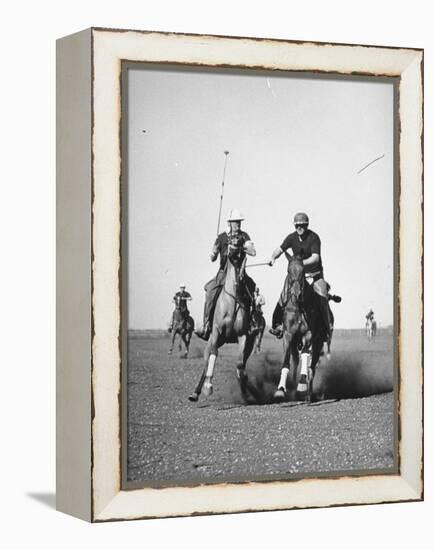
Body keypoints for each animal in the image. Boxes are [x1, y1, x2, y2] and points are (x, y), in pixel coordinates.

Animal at [188, 246, 256, 402]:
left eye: (241, 246)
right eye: (230, 243)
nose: (233, 251)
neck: (232, 300)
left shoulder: (243, 335)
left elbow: (240, 364)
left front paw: (245, 390)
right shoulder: (217, 331)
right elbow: (214, 355)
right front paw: (208, 387)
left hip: (248, 345)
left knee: (242, 363)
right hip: (213, 341)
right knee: (206, 363)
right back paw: (196, 392)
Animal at [272, 256, 328, 404]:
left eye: (303, 271)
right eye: (288, 270)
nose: (296, 294)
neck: (298, 306)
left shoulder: (308, 334)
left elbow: (305, 356)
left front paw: (302, 385)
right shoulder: (288, 334)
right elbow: (286, 362)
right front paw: (281, 389)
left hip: (318, 343)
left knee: (312, 368)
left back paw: (308, 395)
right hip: (294, 343)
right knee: (296, 362)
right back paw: (293, 389)